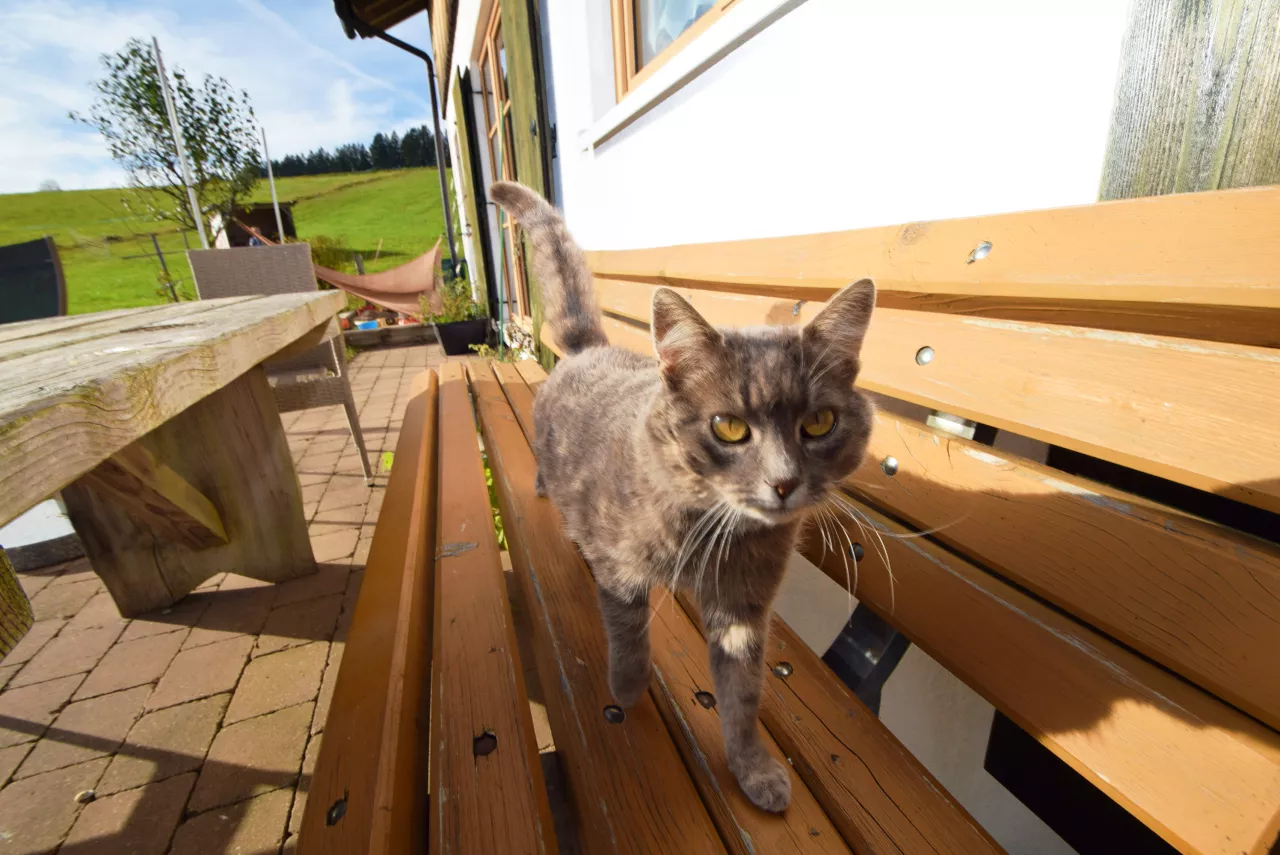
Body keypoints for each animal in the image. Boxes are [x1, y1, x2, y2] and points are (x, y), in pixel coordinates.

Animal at [491, 181, 880, 814]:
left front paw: (753, 770)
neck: (708, 528)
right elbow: (628, 632)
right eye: (729, 427)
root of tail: (587, 348)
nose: (783, 481)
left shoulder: (744, 603)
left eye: (819, 423)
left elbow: (744, 695)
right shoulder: (622, 569)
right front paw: (626, 686)